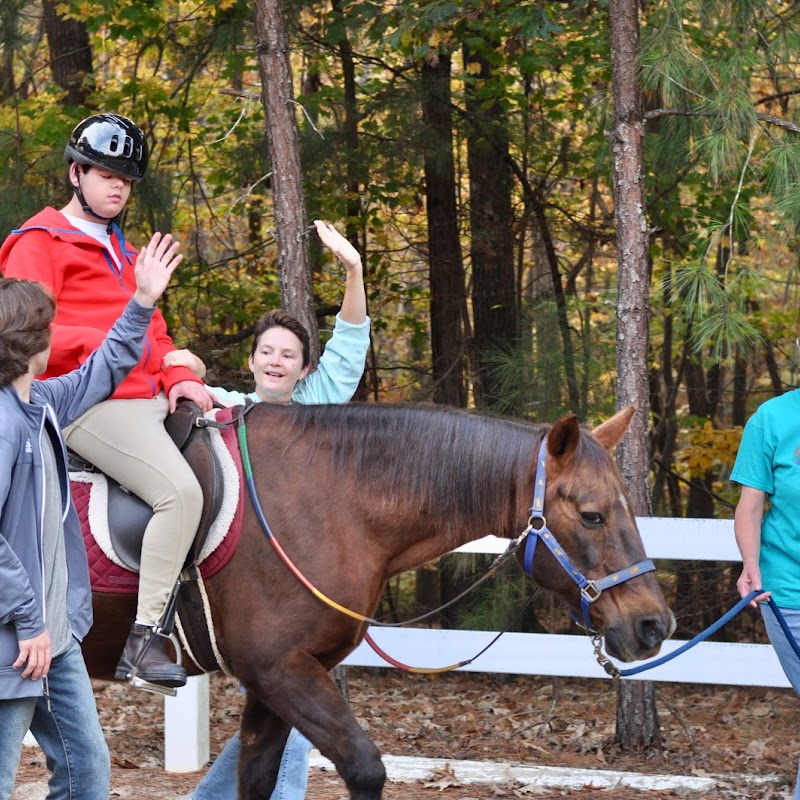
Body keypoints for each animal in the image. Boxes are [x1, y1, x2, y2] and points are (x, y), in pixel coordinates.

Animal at [83, 404, 676, 800]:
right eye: (593, 515)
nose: (654, 624)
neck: (330, 501)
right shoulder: (280, 670)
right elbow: (366, 768)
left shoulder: (276, 679)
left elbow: (257, 776)